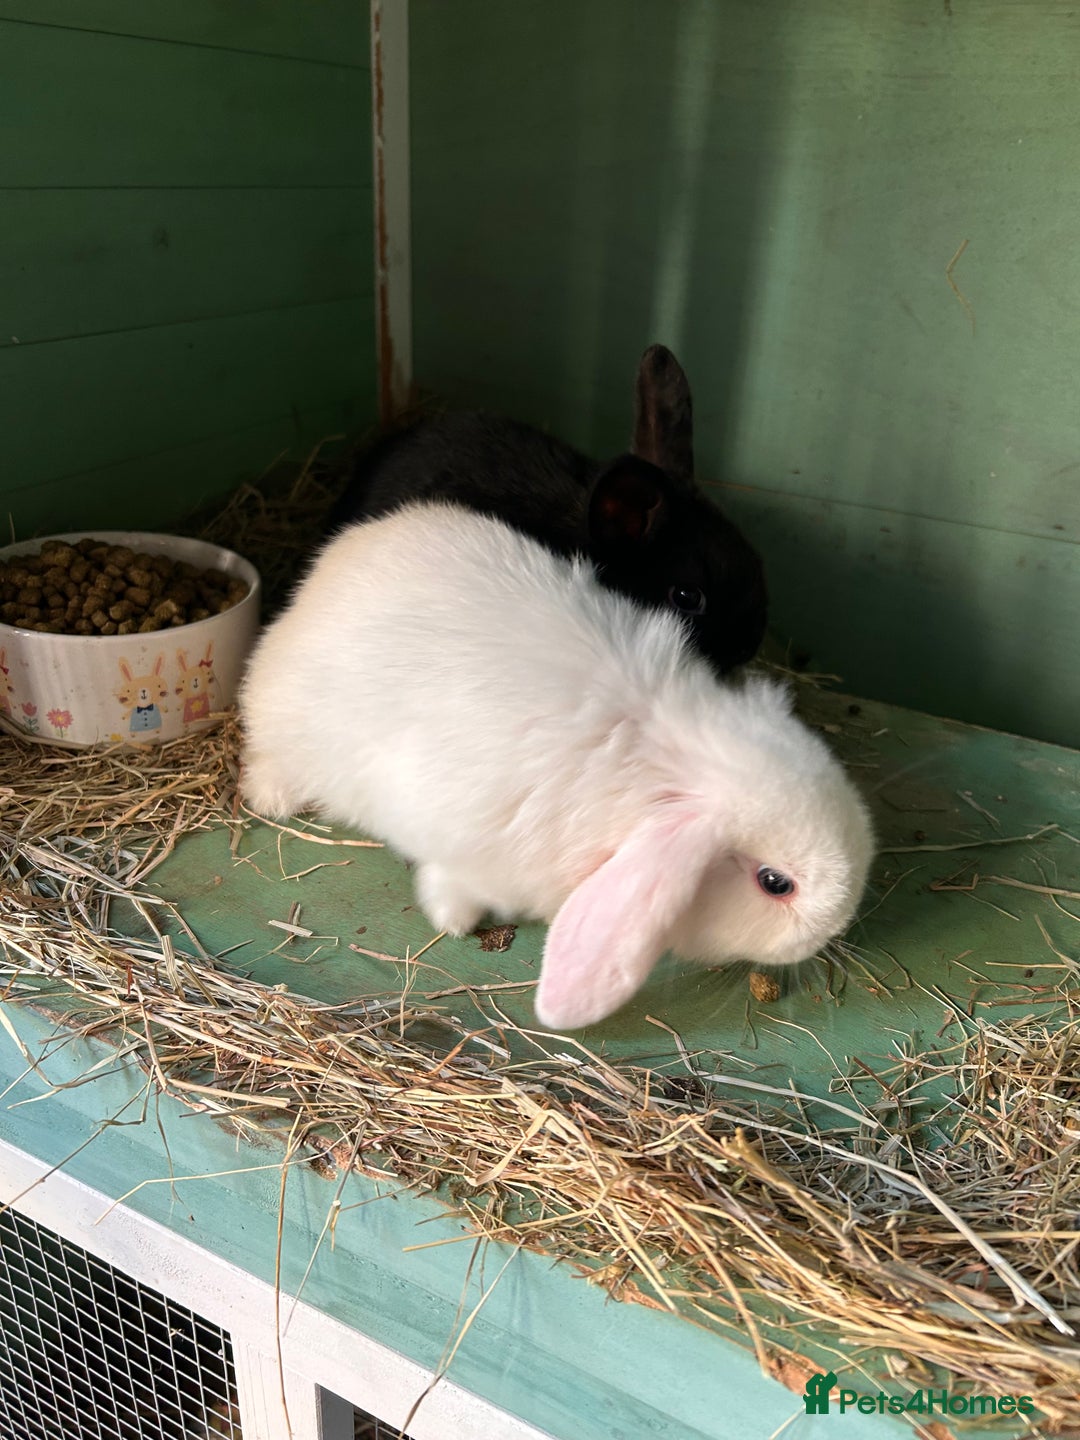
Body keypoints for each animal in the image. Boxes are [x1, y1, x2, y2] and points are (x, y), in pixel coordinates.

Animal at [240, 502, 872, 1031]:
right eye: (775, 883)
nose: (835, 926)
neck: (659, 766)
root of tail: (316, 585)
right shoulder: (465, 843)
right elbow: (450, 884)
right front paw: (455, 921)